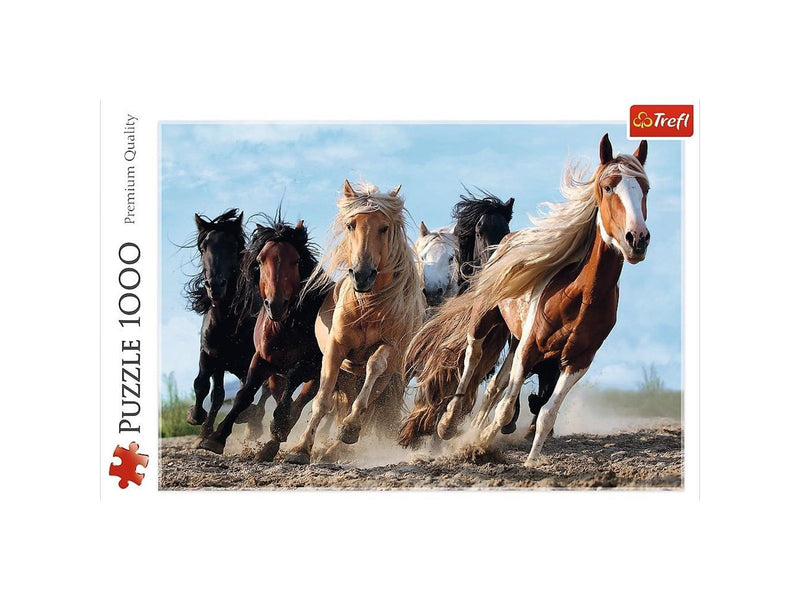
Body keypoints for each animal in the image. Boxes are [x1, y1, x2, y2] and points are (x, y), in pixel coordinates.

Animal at [184, 209, 271, 441]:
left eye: (233, 247)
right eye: (203, 247)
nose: (215, 286)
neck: (228, 322)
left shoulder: (253, 360)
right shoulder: (211, 354)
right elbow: (206, 387)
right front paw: (199, 421)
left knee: (264, 391)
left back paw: (253, 424)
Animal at [197, 214, 330, 461]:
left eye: (296, 261)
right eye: (260, 261)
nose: (275, 304)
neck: (285, 327)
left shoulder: (310, 364)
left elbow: (292, 387)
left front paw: (278, 425)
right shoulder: (260, 359)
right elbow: (244, 394)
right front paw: (216, 438)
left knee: (300, 402)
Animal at [284, 180, 426, 464]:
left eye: (384, 227)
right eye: (351, 225)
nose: (362, 275)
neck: (368, 306)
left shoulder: (389, 348)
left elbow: (374, 367)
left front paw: (349, 428)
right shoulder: (336, 349)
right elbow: (322, 400)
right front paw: (301, 448)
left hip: (387, 379)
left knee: (368, 405)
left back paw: (337, 446)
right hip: (350, 376)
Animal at [399, 134, 650, 468]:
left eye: (645, 188)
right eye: (608, 186)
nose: (637, 239)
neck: (581, 296)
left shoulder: (577, 361)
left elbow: (545, 413)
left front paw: (529, 460)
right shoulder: (529, 347)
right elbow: (504, 405)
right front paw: (477, 442)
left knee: (495, 386)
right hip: (486, 319)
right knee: (472, 356)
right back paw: (449, 422)